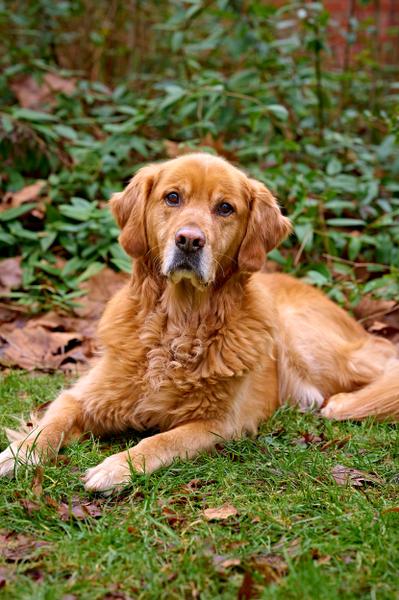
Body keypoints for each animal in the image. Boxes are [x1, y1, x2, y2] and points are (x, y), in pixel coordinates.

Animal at [0, 152, 398, 490]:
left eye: (225, 208)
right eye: (173, 198)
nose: (190, 240)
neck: (179, 323)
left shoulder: (221, 424)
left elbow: (162, 439)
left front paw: (116, 467)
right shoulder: (84, 395)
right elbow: (50, 423)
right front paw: (17, 454)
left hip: (306, 342)